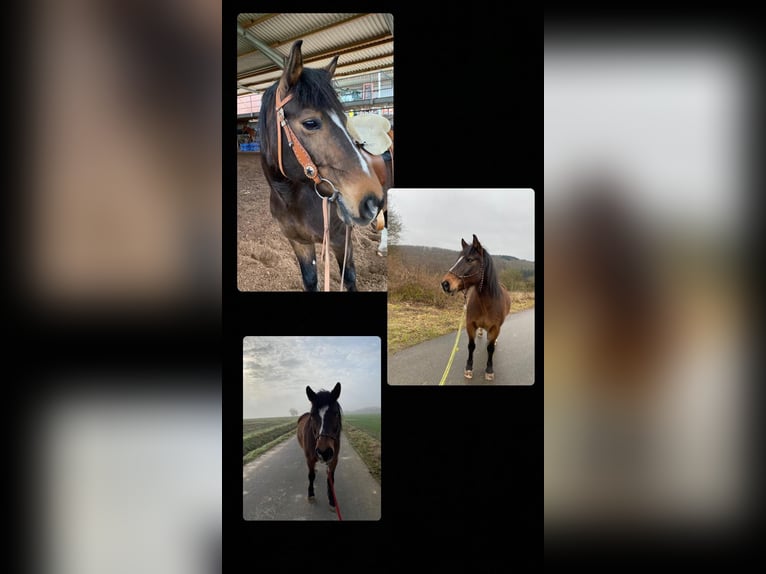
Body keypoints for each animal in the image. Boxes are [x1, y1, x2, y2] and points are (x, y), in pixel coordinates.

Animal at [260, 41, 388, 292]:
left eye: (345, 119)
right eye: (310, 122)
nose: (371, 200)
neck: (293, 200)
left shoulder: (341, 240)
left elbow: (349, 279)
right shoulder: (299, 243)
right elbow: (311, 281)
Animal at [440, 236, 512, 380]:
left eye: (470, 260)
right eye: (458, 259)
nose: (445, 284)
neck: (486, 303)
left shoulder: (495, 328)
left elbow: (490, 348)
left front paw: (489, 370)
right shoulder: (470, 325)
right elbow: (471, 346)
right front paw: (469, 368)